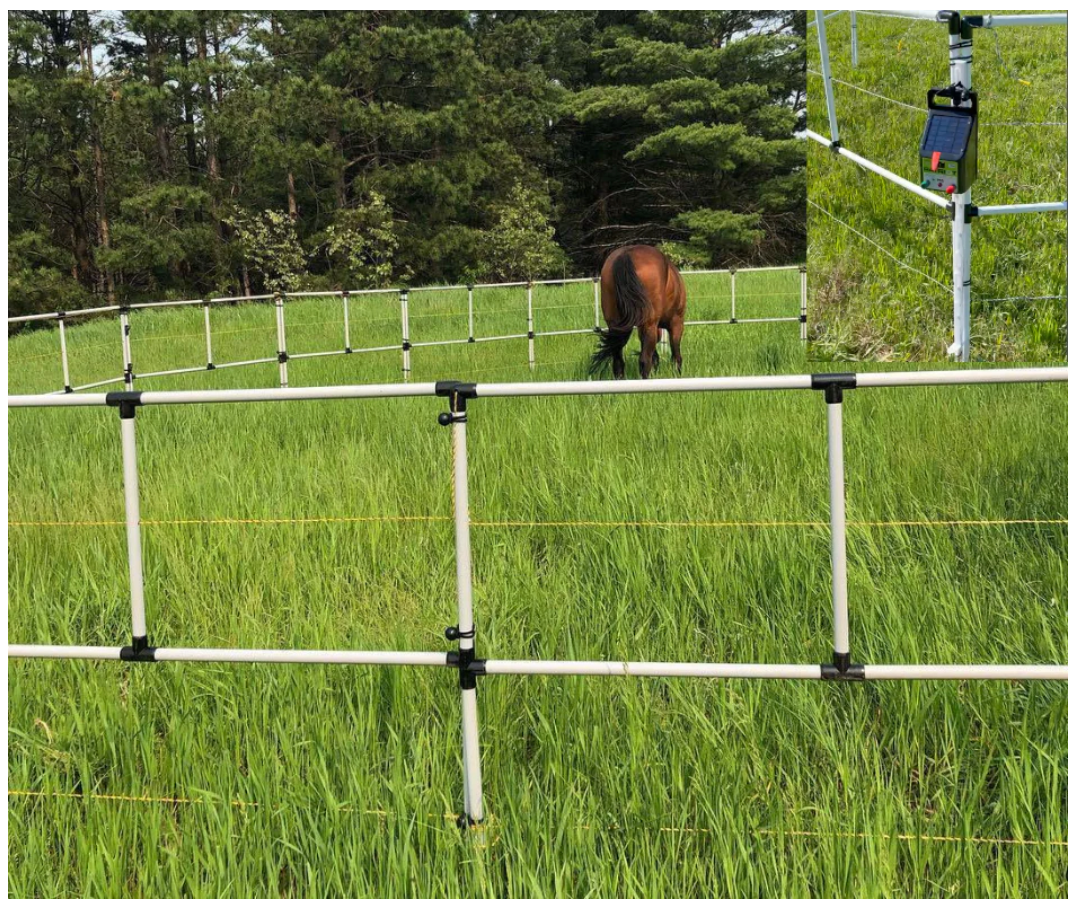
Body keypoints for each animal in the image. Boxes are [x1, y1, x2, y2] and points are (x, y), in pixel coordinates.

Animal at [589, 244, 687, 380]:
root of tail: (626, 254)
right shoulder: (676, 323)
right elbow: (676, 355)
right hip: (650, 323)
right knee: (644, 360)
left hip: (615, 324)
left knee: (618, 360)